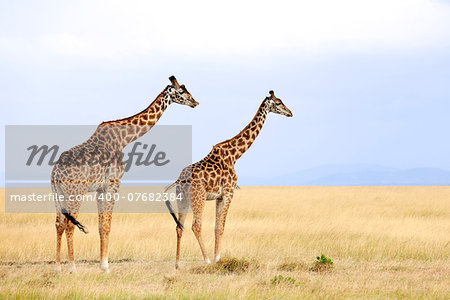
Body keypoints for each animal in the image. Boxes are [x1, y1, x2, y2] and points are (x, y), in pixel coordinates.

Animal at [50, 75, 197, 274]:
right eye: (181, 91)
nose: (195, 102)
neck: (123, 139)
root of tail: (55, 172)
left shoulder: (101, 189)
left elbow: (101, 226)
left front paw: (102, 265)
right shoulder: (113, 183)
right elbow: (107, 225)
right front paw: (106, 267)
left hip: (58, 194)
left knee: (59, 224)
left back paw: (58, 269)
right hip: (75, 192)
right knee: (69, 224)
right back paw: (73, 268)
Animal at [164, 89, 292, 268]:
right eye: (279, 102)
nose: (290, 113)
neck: (235, 155)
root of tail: (179, 180)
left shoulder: (219, 196)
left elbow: (216, 227)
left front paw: (217, 257)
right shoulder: (229, 192)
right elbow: (222, 226)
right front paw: (217, 259)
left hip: (182, 198)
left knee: (179, 226)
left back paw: (177, 264)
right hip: (198, 197)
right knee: (196, 226)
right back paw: (206, 260)